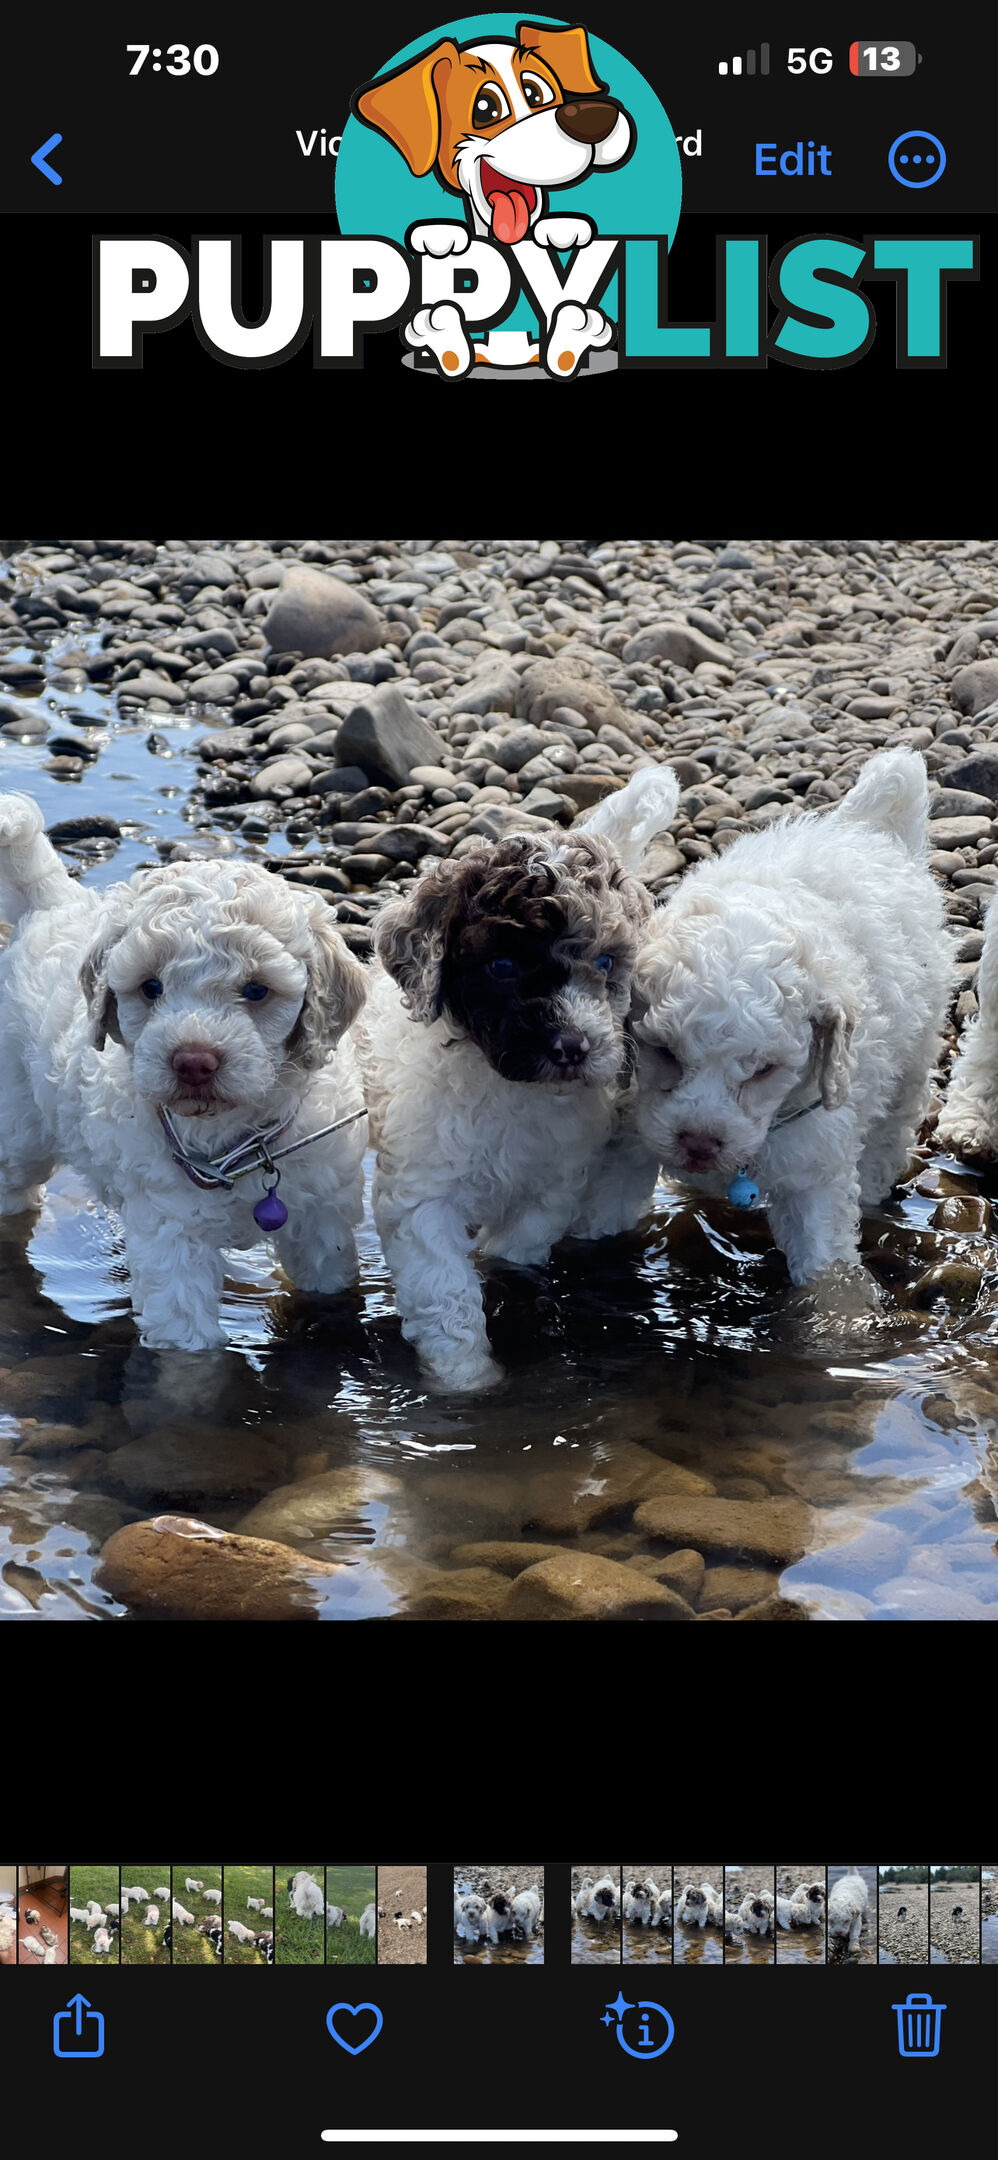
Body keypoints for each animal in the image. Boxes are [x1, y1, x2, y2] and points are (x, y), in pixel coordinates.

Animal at [0, 799, 369, 1347]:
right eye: (150, 987)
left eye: (256, 991)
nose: (193, 1060)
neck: (236, 1142)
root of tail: (50, 904)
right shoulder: (172, 1238)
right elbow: (189, 1347)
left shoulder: (323, 1216)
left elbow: (329, 1280)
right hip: (18, 1125)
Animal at [349, 768, 678, 1391]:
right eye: (501, 968)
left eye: (605, 964)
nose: (575, 1047)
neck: (509, 1091)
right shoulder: (424, 1194)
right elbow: (444, 1288)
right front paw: (466, 1378)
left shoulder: (553, 1184)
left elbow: (518, 1246)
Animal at [626, 747, 954, 1278]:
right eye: (664, 1053)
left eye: (765, 1071)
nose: (699, 1143)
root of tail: (860, 829)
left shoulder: (814, 1168)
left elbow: (824, 1269)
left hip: (915, 1050)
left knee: (892, 1125)